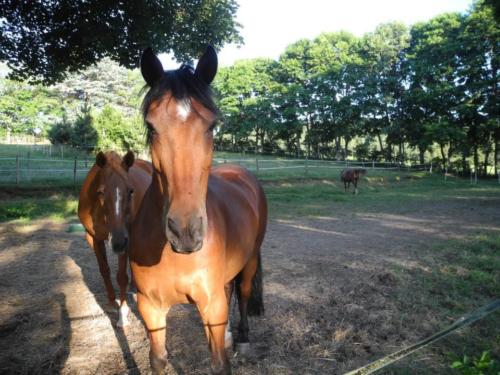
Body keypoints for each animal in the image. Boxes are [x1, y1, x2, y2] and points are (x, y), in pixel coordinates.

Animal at [77, 151, 151, 328]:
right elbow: (104, 270)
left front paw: (122, 312)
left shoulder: (126, 238)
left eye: (131, 191)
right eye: (101, 192)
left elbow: (121, 276)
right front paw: (111, 303)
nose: (118, 242)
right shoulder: (94, 238)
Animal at [130, 47, 270, 375]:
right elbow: (158, 359)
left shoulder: (211, 306)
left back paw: (243, 339)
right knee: (230, 290)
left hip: (249, 264)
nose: (185, 232)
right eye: (151, 126)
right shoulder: (150, 308)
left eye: (211, 126)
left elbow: (219, 364)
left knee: (243, 293)